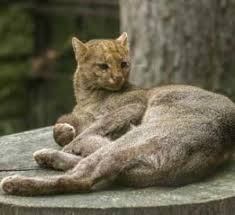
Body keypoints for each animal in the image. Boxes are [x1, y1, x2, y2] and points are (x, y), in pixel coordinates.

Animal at [0, 32, 234, 196]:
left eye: (123, 64)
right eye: (103, 66)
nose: (117, 77)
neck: (88, 95)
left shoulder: (133, 105)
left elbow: (96, 126)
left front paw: (74, 141)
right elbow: (63, 129)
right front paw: (67, 136)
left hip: (136, 139)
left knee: (83, 177)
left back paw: (17, 183)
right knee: (99, 165)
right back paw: (47, 157)